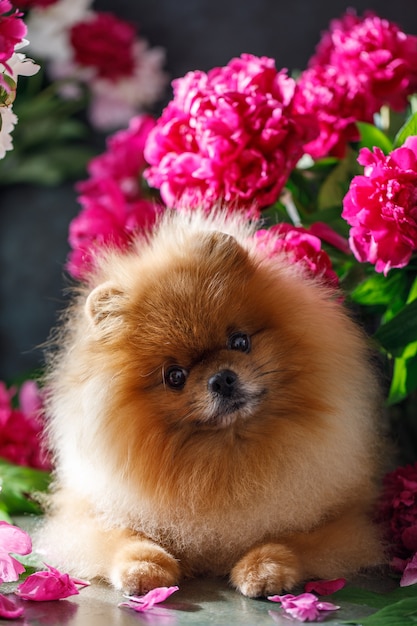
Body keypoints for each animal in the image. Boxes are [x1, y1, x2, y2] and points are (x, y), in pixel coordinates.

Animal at [37, 208, 386, 596]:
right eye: (174, 376)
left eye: (240, 342)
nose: (222, 379)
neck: (223, 456)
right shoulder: (87, 517)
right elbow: (124, 537)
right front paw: (144, 567)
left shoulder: (340, 522)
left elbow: (290, 540)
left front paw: (265, 567)